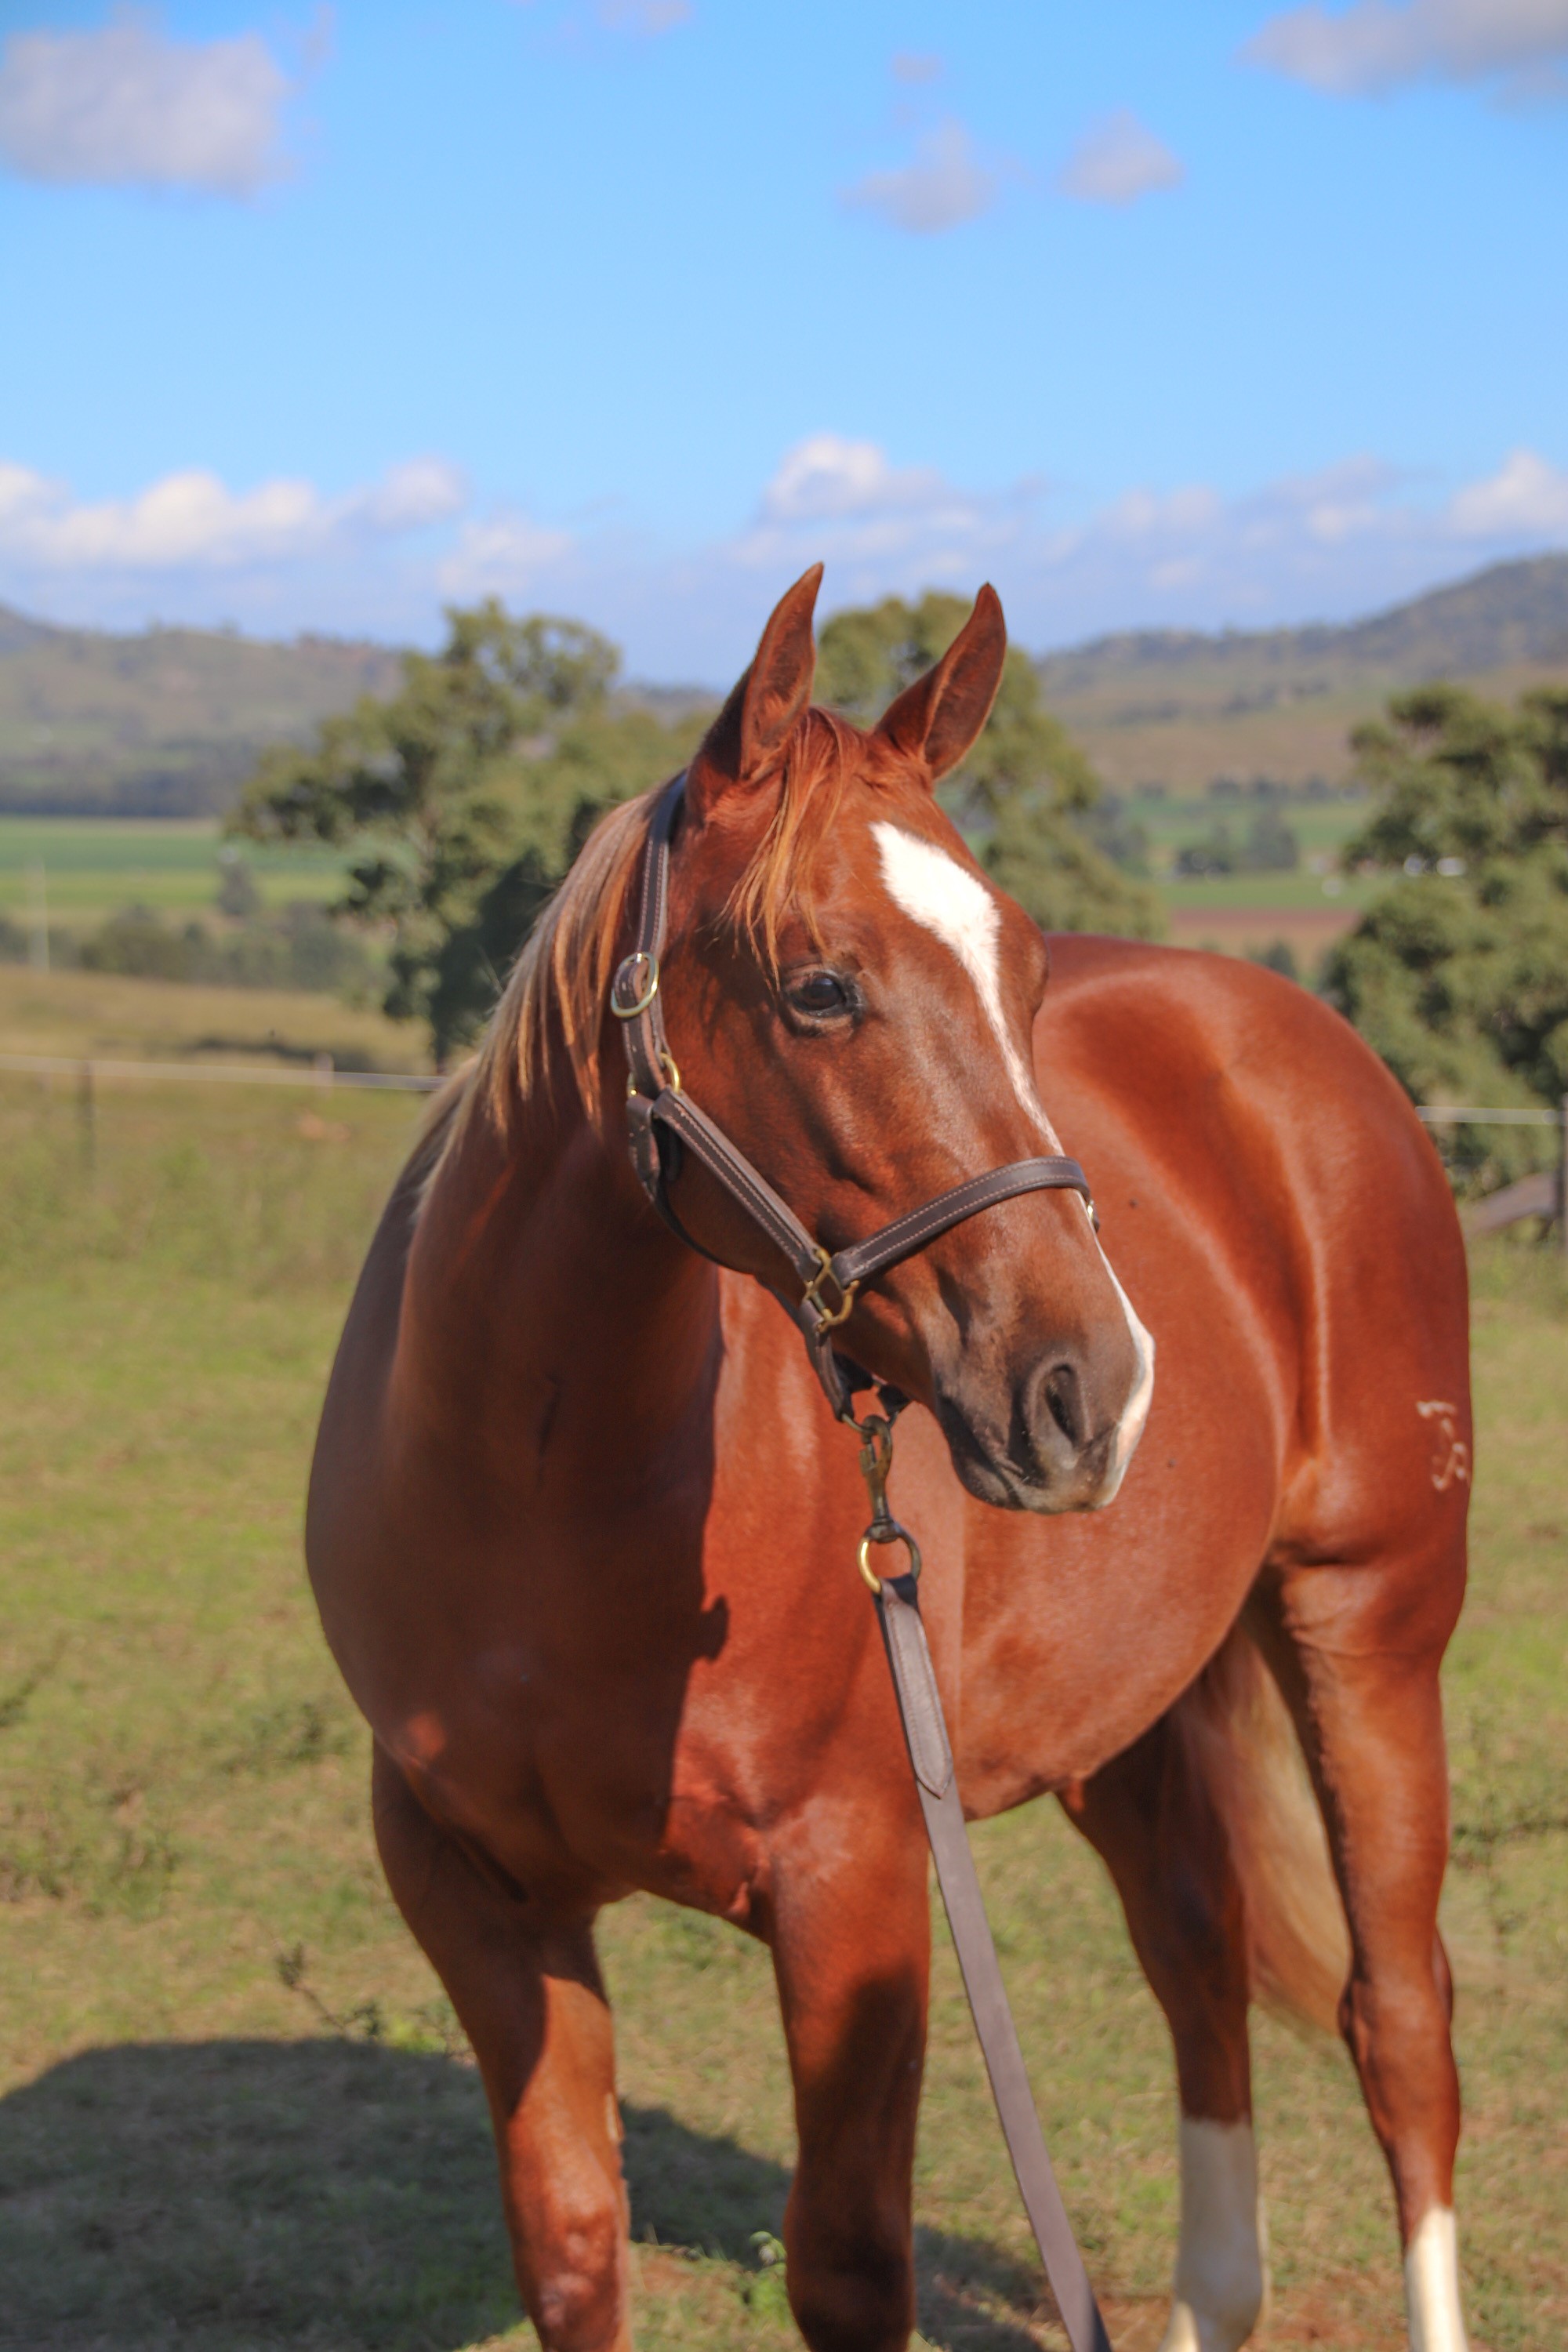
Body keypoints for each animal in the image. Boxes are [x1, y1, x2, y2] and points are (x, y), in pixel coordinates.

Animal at [306, 567, 1473, 2352]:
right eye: (817, 986)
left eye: (1029, 972)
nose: (1093, 1392)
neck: (536, 1498)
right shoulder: (475, 1897)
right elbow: (572, 2240)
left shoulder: (854, 1889)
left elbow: (850, 2263)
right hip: (1129, 1716)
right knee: (1197, 1963)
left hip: (1368, 1630)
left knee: (1397, 2021)